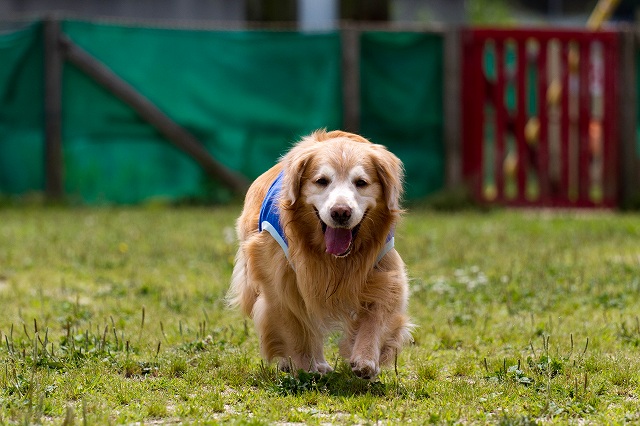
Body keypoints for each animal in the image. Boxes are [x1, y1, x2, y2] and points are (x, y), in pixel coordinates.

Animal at [228, 130, 412, 380]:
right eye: (321, 181)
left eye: (361, 183)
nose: (341, 212)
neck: (332, 258)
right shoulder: (281, 280)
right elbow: (294, 326)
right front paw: (303, 368)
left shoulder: (382, 269)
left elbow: (378, 313)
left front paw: (366, 358)